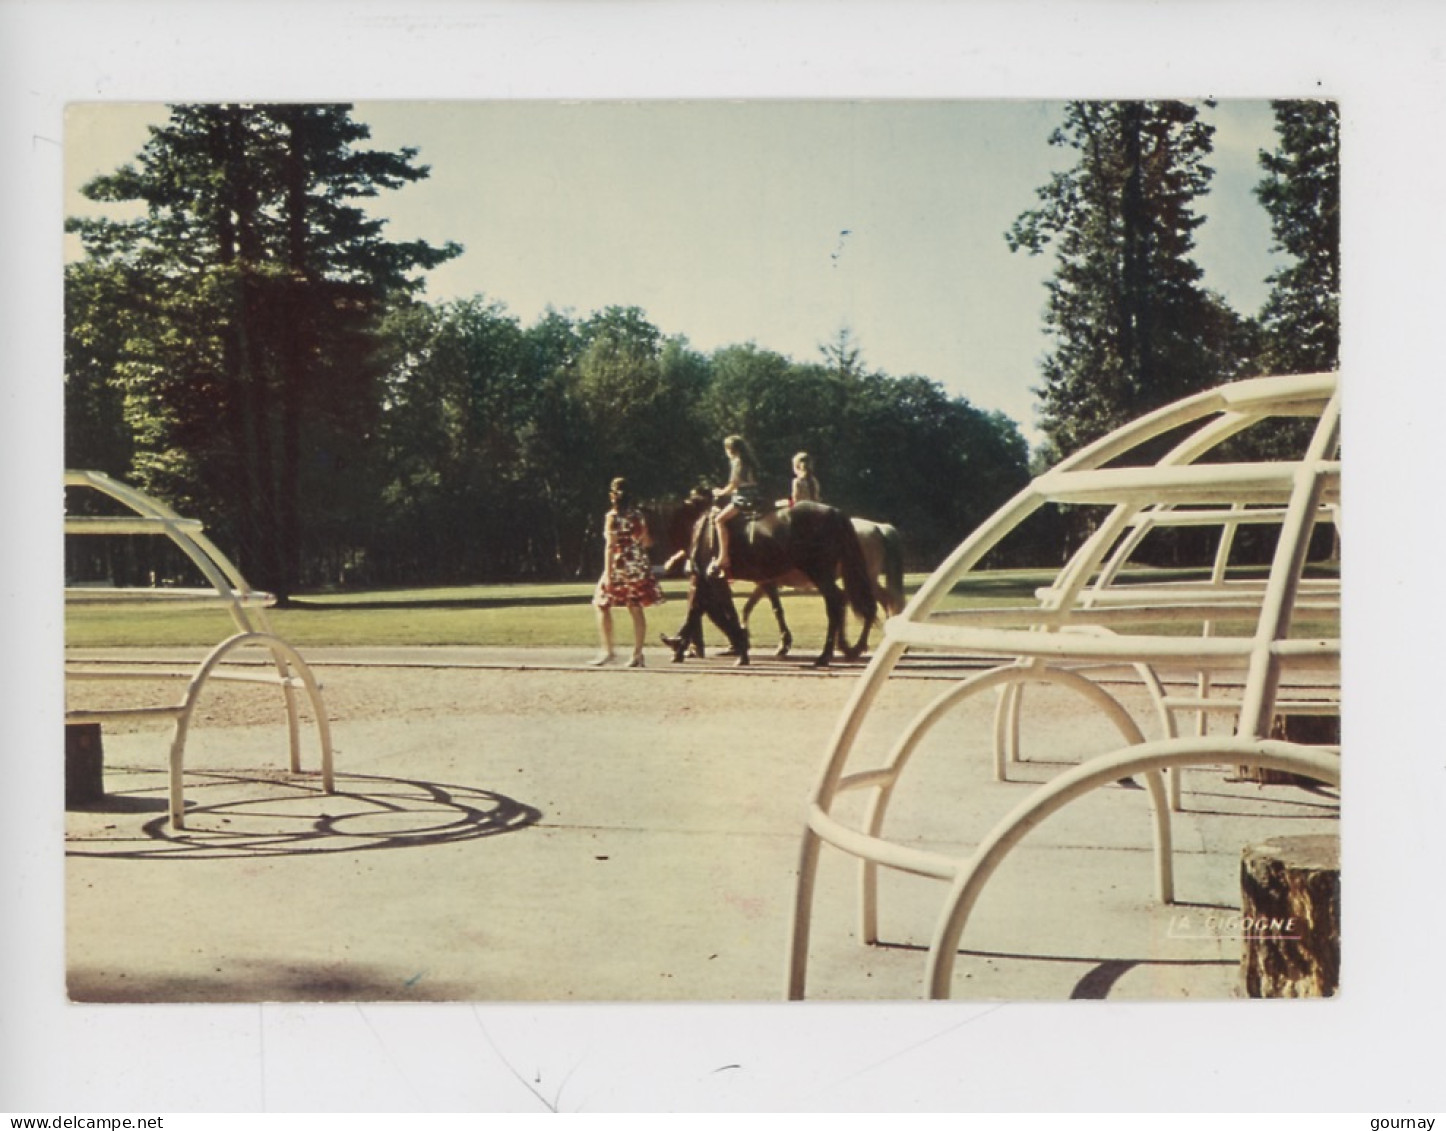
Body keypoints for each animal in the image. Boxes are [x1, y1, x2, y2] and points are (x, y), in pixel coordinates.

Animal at [662, 497, 873, 673]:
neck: (705, 532)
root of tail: (835, 513)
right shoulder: (712, 581)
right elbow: (702, 610)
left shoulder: (711, 580)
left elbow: (707, 612)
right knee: (844, 602)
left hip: (819, 573)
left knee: (836, 604)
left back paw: (825, 656)